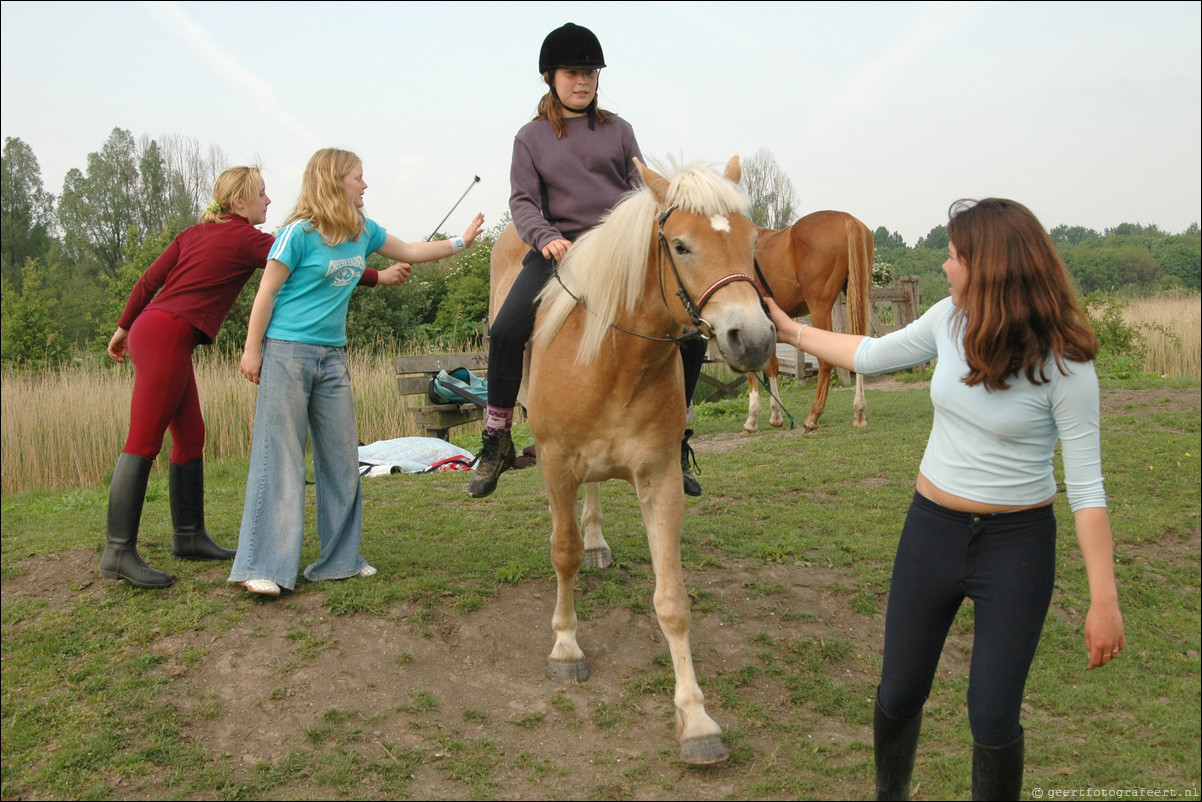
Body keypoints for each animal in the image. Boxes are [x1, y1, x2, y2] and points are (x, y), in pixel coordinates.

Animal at [490, 156, 778, 764]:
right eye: (681, 245)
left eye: (752, 242)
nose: (754, 338)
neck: (612, 358)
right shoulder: (557, 463)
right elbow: (564, 553)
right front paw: (566, 648)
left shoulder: (659, 475)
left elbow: (672, 599)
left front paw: (696, 720)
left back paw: (599, 539)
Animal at [740, 206, 875, 432]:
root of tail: (847, 220)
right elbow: (772, 366)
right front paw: (776, 416)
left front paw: (752, 418)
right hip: (859, 293)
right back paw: (859, 412)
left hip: (820, 306)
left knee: (825, 360)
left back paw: (813, 416)